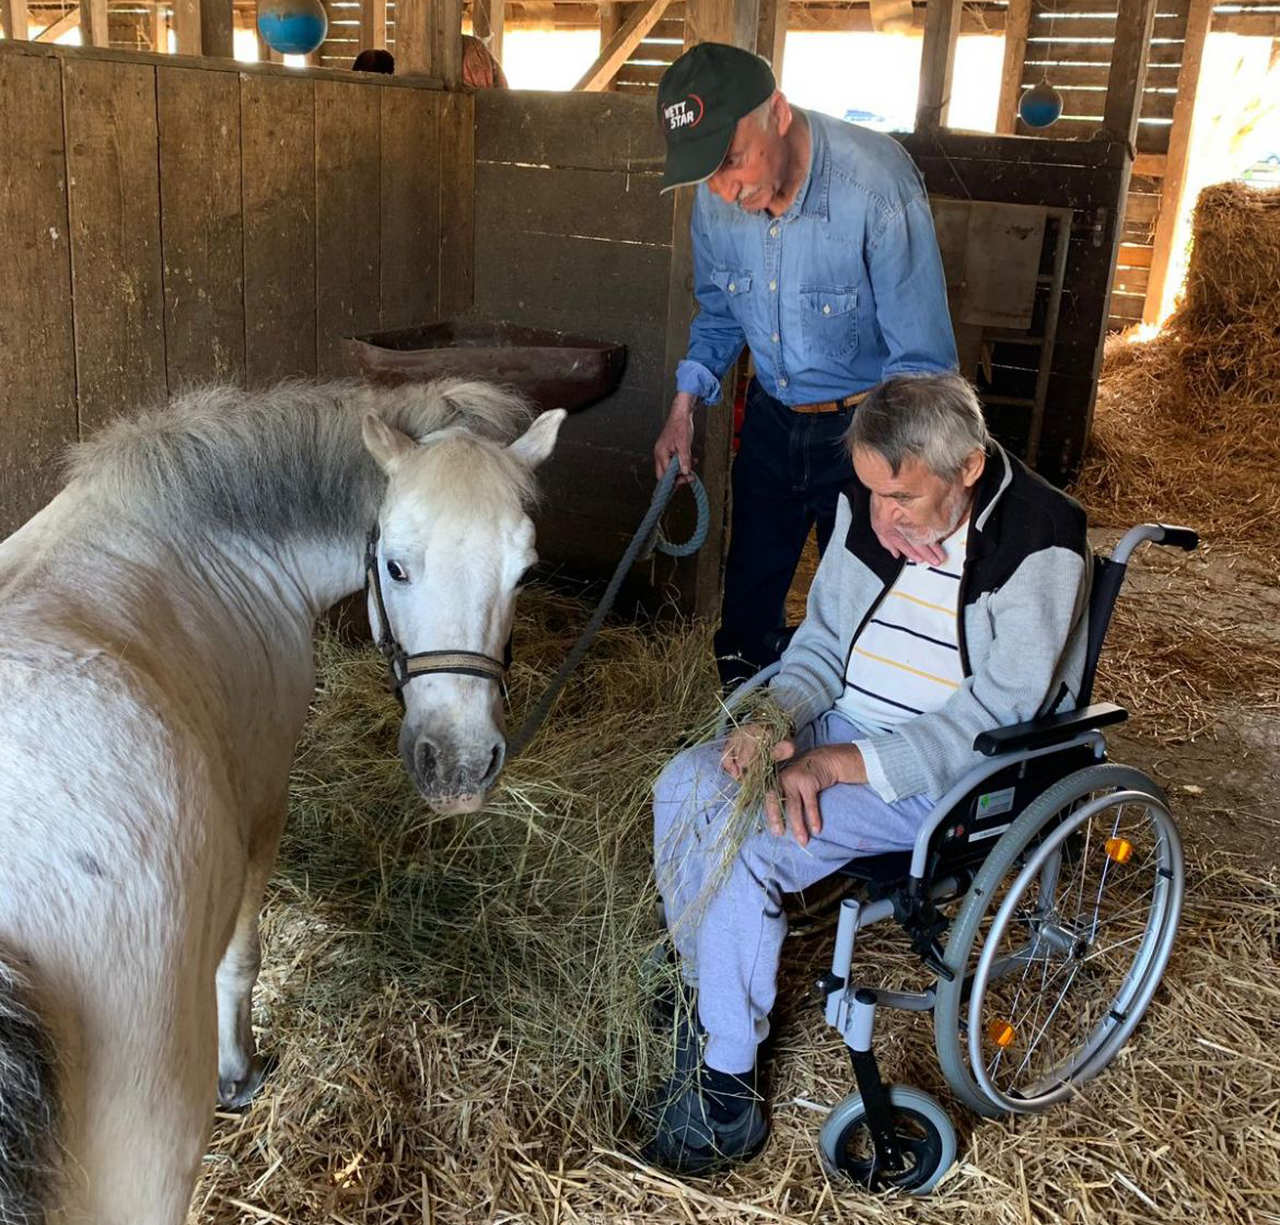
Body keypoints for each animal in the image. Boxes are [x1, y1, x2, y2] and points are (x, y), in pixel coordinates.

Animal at [0, 378, 565, 1218]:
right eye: (396, 566)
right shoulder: (261, 801)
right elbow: (240, 959)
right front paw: (241, 1070)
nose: (459, 765)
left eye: (523, 573)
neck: (216, 531)